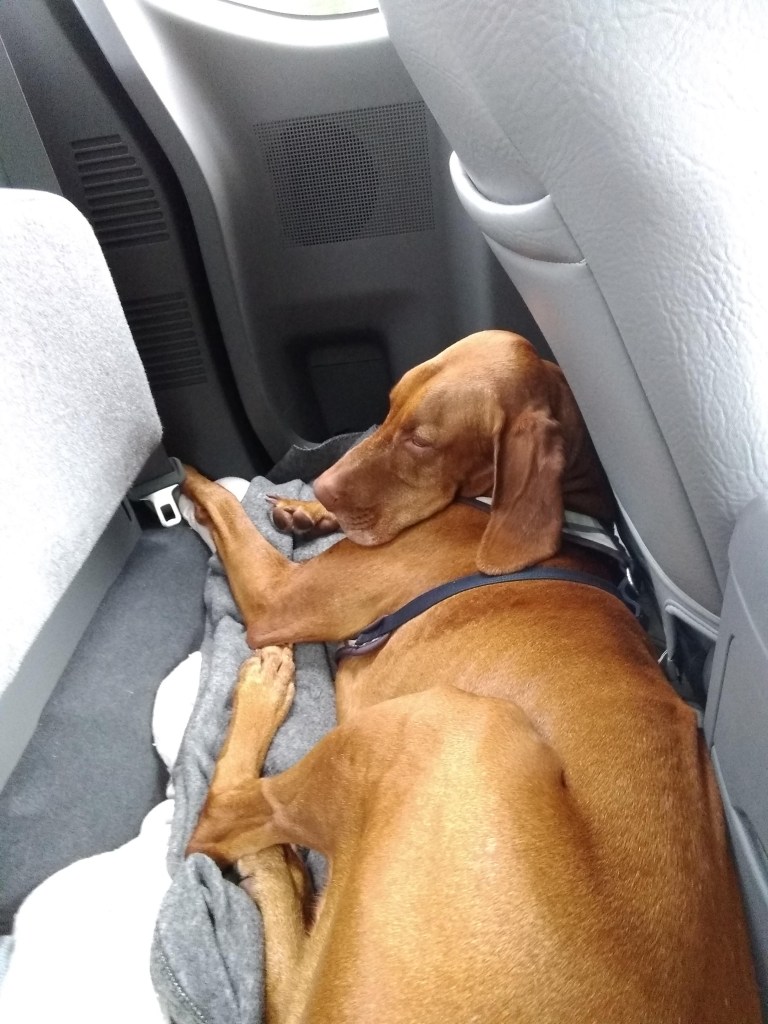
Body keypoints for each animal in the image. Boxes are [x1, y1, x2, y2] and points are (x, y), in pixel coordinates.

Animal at [184, 330, 760, 1023]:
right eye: (389, 408)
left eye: (423, 441)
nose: (322, 482)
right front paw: (306, 510)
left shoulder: (277, 599)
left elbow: (225, 503)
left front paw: (192, 479)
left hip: (451, 723)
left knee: (215, 818)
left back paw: (262, 703)